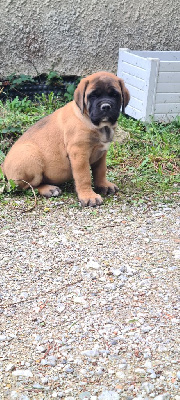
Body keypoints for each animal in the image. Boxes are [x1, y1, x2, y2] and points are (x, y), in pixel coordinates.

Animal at [2, 71, 129, 206]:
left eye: (115, 95)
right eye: (93, 96)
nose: (105, 106)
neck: (98, 126)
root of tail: (3, 165)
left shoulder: (101, 153)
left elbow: (100, 171)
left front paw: (103, 185)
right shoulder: (79, 154)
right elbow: (84, 176)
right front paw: (88, 196)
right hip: (30, 156)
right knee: (28, 187)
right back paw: (49, 189)